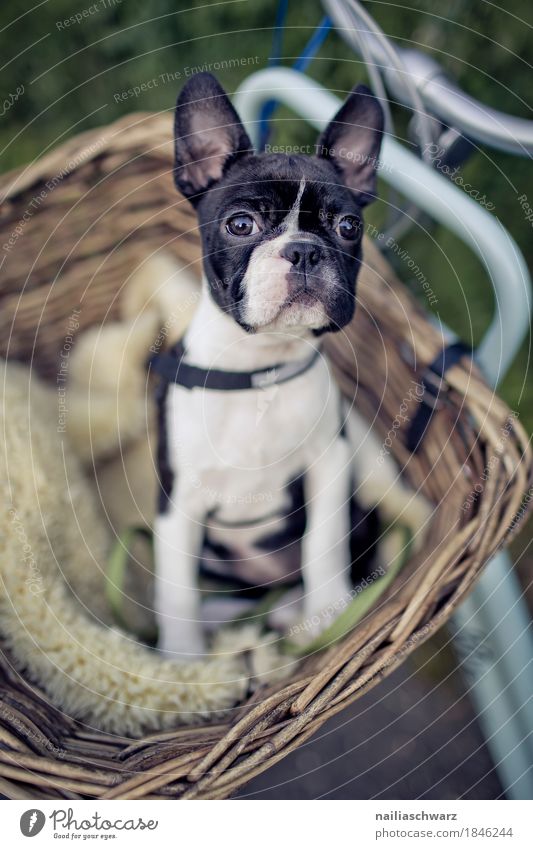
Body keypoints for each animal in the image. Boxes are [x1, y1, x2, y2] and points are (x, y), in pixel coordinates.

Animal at [152, 73, 414, 656]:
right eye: (240, 224)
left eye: (348, 227)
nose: (304, 250)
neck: (260, 372)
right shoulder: (178, 503)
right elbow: (176, 588)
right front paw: (181, 659)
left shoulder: (328, 464)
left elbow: (323, 544)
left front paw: (327, 613)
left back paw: (293, 613)